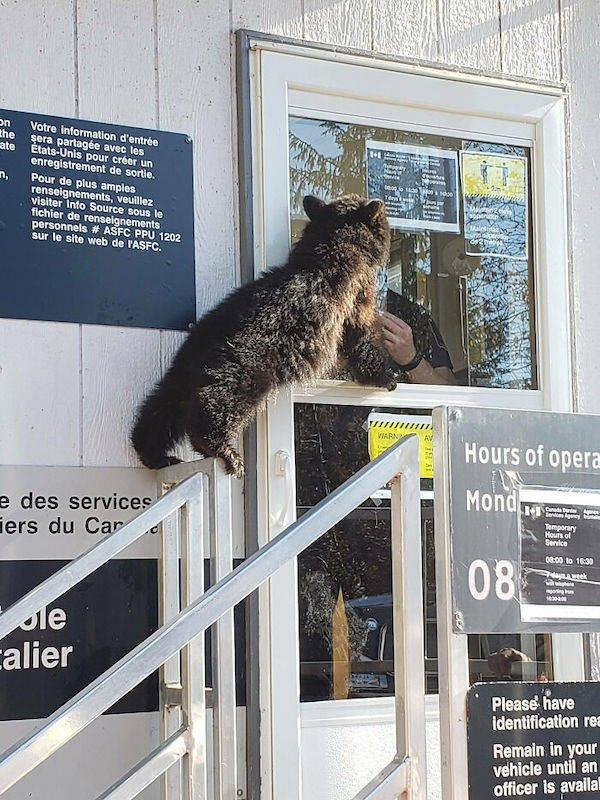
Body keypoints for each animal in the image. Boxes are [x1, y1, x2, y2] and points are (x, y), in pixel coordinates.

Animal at [131, 193, 397, 478]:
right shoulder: (354, 296)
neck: (334, 245)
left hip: (181, 369)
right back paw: (224, 450)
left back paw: (155, 453)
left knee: (163, 405)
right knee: (219, 400)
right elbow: (361, 336)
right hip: (246, 366)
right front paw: (386, 376)